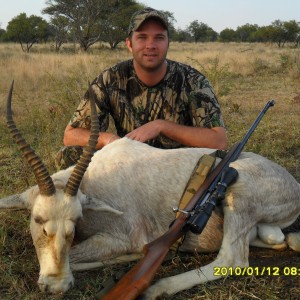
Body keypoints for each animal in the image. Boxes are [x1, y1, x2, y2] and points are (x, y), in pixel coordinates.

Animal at [0, 81, 300, 298]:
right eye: (38, 220)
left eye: (75, 222)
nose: (57, 285)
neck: (97, 176)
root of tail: (293, 185)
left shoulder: (123, 237)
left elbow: (76, 257)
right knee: (276, 238)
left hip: (237, 195)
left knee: (231, 260)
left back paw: (157, 288)